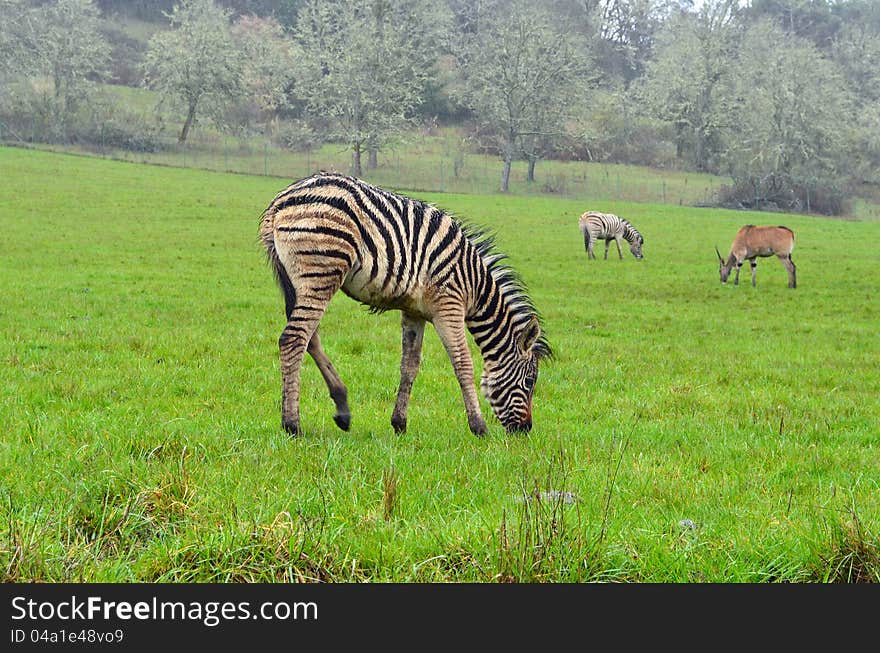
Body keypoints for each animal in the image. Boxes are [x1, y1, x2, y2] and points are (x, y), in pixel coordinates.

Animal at [260, 173, 552, 438]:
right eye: (530, 381)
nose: (526, 430)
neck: (475, 285)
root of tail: (280, 201)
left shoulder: (414, 312)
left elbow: (409, 365)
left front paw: (399, 423)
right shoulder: (449, 307)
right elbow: (463, 364)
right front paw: (478, 426)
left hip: (296, 282)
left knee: (310, 339)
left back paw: (342, 409)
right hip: (321, 273)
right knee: (294, 339)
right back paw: (292, 424)